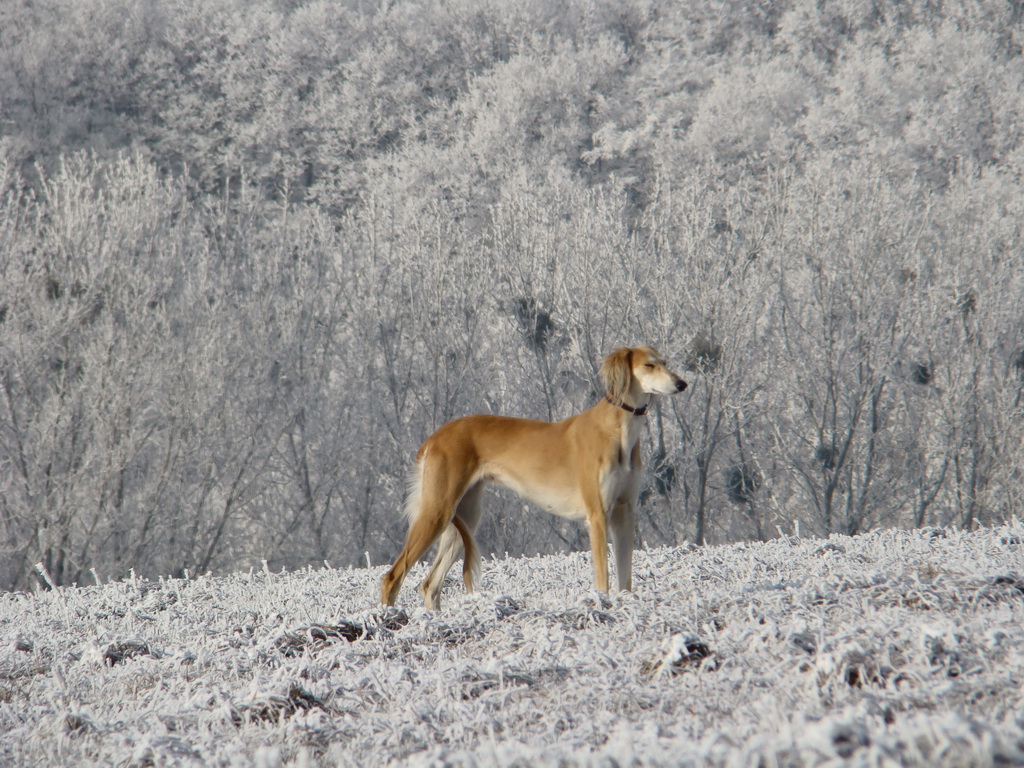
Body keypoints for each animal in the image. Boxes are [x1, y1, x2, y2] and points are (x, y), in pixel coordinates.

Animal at [380, 348, 684, 606]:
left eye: (665, 362)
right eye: (649, 365)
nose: (682, 384)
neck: (618, 431)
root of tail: (435, 436)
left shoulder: (624, 512)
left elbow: (625, 577)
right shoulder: (598, 515)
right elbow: (603, 577)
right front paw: (603, 604)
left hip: (463, 518)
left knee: (430, 584)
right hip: (437, 512)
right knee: (393, 576)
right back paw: (388, 619)